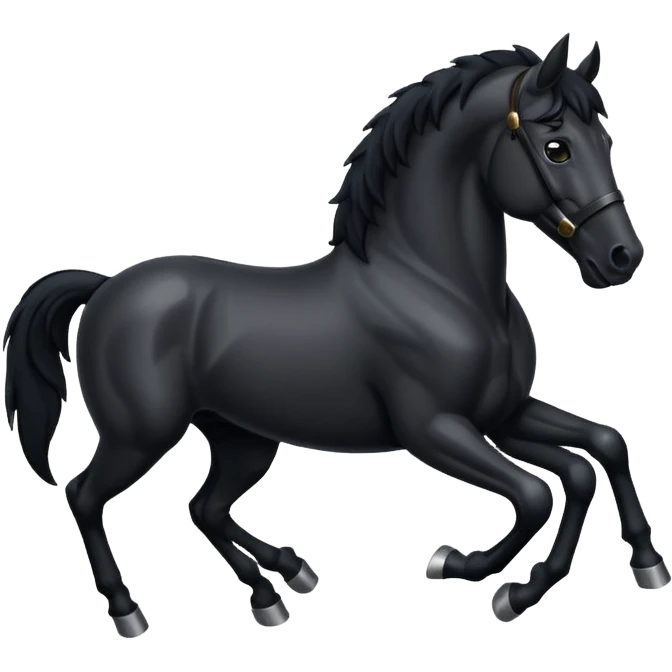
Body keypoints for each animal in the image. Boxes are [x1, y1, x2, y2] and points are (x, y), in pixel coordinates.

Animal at [4, 33, 669, 638]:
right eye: (557, 148)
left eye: (606, 141)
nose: (622, 258)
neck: (432, 284)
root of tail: (104, 287)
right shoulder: (435, 430)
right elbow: (538, 494)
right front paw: (472, 572)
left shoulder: (501, 416)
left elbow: (597, 453)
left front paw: (644, 563)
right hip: (138, 436)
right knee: (86, 496)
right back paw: (131, 611)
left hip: (242, 438)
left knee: (206, 507)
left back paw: (278, 587)